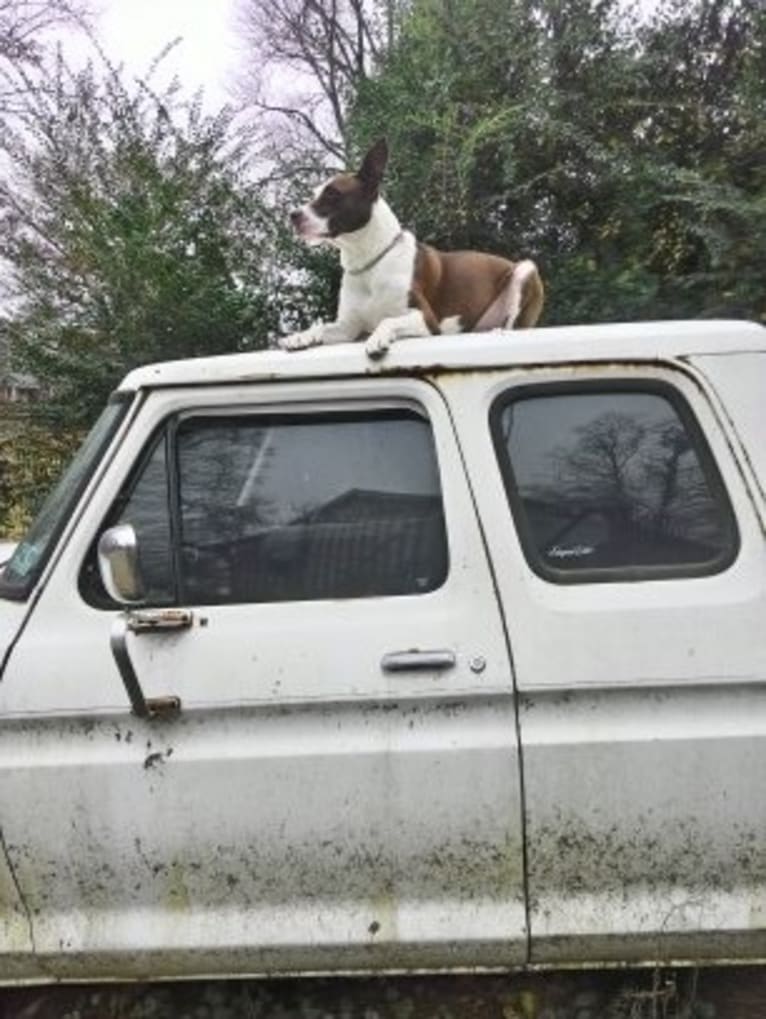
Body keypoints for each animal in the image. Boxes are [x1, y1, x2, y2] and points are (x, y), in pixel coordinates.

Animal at [279, 137, 541, 356]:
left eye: (333, 194)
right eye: (314, 194)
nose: (293, 215)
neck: (369, 261)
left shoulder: (426, 319)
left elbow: (387, 320)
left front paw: (377, 338)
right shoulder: (348, 327)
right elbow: (322, 326)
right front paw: (301, 336)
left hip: (525, 270)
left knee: (515, 325)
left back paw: (499, 331)